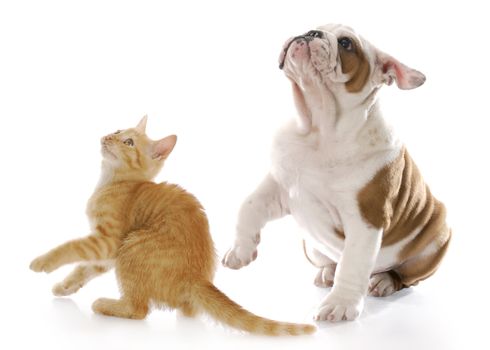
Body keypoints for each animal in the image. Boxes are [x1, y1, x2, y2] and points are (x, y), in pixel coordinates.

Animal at [30, 117, 316, 336]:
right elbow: (83, 269)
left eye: (128, 142)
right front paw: (65, 286)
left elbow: (70, 248)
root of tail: (198, 278)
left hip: (132, 245)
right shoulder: (106, 255)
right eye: (118, 130)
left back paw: (105, 304)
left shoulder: (108, 242)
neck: (112, 181)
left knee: (139, 309)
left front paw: (43, 262)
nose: (108, 136)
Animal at [222, 23, 452, 322]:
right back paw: (328, 272)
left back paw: (384, 281)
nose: (311, 33)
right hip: (312, 249)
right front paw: (240, 251)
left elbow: (353, 263)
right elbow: (249, 206)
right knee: (332, 262)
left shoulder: (365, 219)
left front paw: (340, 304)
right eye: (314, 27)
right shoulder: (280, 185)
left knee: (404, 276)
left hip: (436, 241)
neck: (319, 125)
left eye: (346, 43)